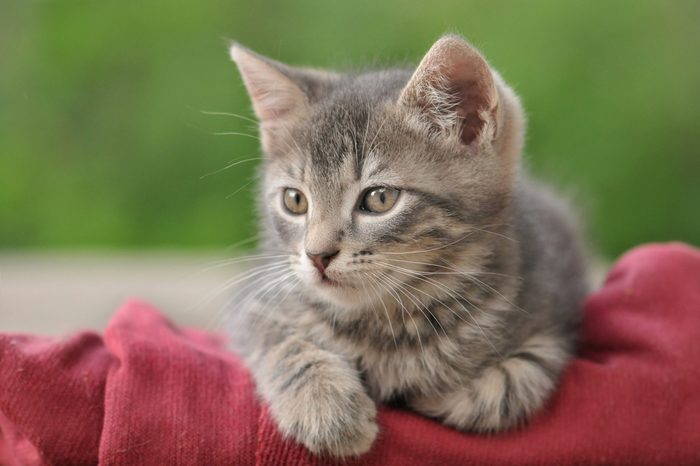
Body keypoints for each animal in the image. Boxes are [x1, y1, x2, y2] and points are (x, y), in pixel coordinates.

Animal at [227, 34, 588, 456]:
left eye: (380, 198)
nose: (317, 255)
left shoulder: (553, 311)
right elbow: (281, 342)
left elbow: (511, 383)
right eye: (295, 201)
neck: (388, 322)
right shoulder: (253, 303)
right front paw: (325, 407)